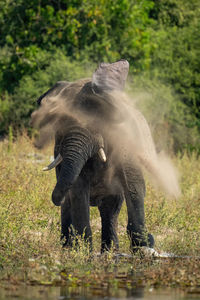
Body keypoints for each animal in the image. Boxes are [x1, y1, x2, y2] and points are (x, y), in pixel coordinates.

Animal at [32, 59, 155, 252]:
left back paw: (111, 252)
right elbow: (78, 190)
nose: (56, 198)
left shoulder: (125, 141)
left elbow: (134, 185)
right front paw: (84, 253)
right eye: (59, 125)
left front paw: (143, 248)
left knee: (110, 210)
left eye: (97, 121)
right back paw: (70, 248)